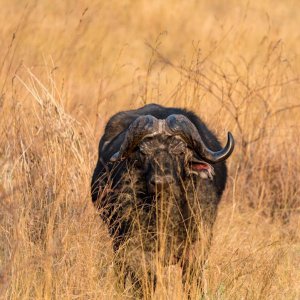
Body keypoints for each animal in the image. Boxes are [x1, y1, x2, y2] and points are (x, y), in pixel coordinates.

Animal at [91, 103, 234, 298]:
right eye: (143, 152)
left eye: (180, 151)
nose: (161, 181)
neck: (168, 215)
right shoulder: (138, 250)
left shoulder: (197, 249)